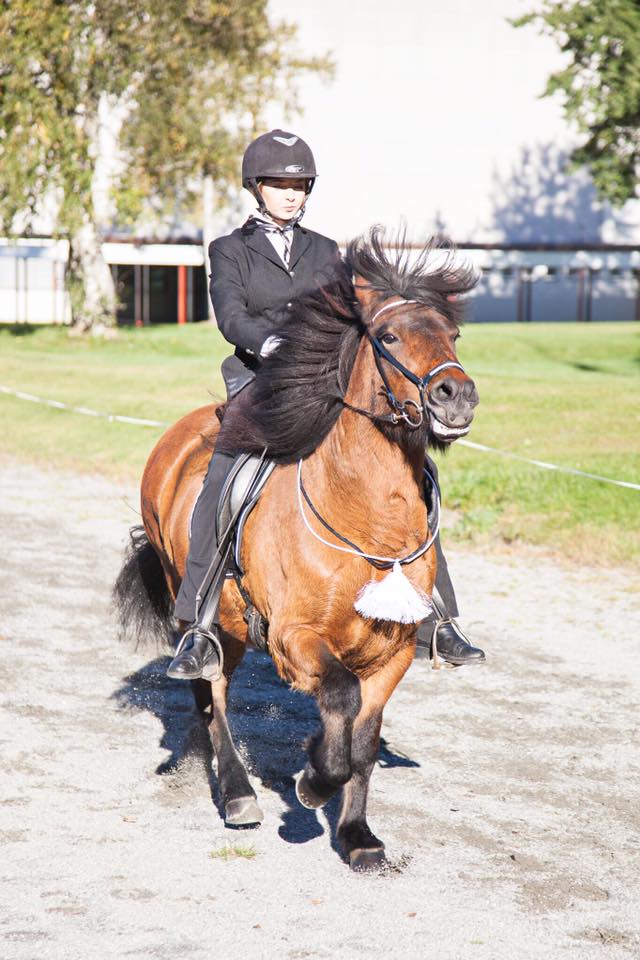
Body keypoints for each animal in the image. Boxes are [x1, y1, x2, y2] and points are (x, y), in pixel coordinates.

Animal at [112, 229, 478, 872]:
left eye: (451, 335)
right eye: (388, 336)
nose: (455, 396)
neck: (366, 515)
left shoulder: (393, 651)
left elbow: (363, 738)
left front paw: (357, 836)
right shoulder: (294, 638)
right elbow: (339, 698)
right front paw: (312, 782)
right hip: (210, 619)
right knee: (212, 692)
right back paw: (237, 794)